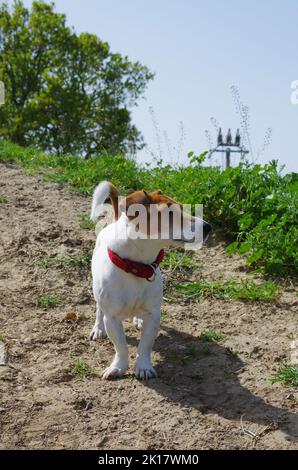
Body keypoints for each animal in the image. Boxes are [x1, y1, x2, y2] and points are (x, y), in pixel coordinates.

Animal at [89, 179, 212, 378]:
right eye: (170, 213)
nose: (209, 226)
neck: (137, 267)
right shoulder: (112, 318)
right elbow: (121, 347)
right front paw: (118, 367)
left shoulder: (153, 315)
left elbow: (145, 345)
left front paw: (144, 367)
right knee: (99, 309)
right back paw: (98, 328)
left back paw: (138, 319)